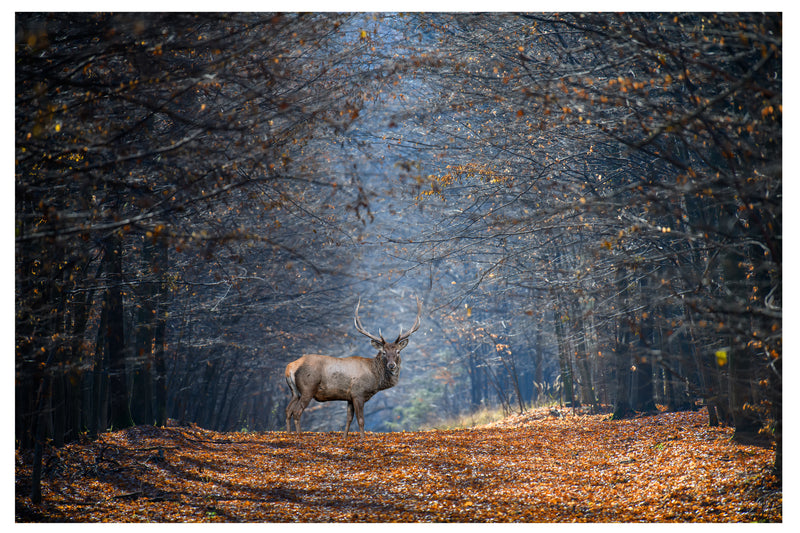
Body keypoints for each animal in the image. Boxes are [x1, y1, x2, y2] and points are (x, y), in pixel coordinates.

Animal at [284, 296, 422, 436]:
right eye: (384, 352)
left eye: (398, 351)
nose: (391, 365)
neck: (374, 378)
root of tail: (290, 368)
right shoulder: (358, 393)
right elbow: (361, 420)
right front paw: (362, 439)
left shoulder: (349, 397)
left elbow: (349, 419)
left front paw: (344, 437)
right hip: (308, 388)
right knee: (297, 412)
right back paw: (299, 435)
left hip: (295, 392)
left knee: (288, 410)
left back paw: (289, 434)